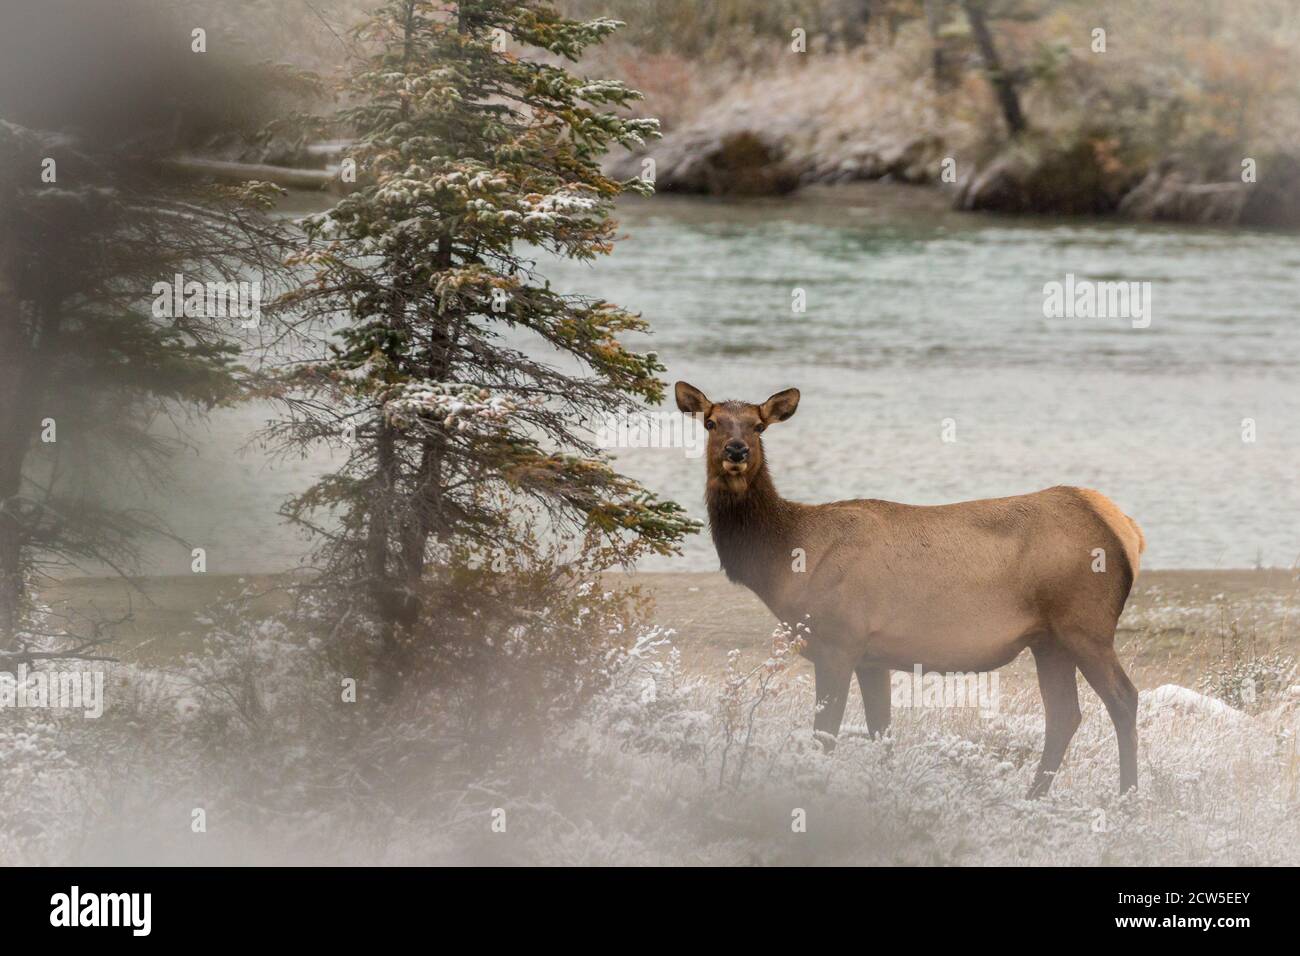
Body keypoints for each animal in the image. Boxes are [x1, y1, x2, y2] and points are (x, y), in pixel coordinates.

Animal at [674, 381, 1145, 797]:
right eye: (711, 422)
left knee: (1124, 699)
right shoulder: (872, 656)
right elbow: (880, 732)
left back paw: (1127, 799)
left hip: (1085, 626)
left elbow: (825, 736)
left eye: (758, 425)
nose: (737, 451)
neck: (785, 560)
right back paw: (1033, 798)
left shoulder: (838, 640)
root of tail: (1126, 528)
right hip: (1048, 640)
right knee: (1064, 713)